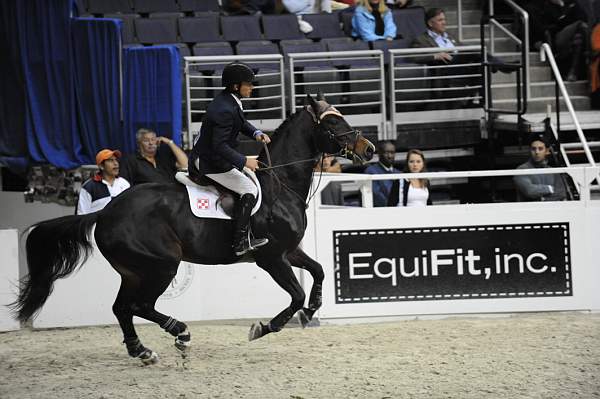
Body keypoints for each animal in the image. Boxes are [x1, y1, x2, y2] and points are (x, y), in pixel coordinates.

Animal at [10, 94, 376, 366]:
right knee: (139, 306)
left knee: (122, 308)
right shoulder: (271, 258)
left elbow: (319, 271)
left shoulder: (290, 251)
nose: (369, 149)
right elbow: (296, 293)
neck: (279, 183)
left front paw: (311, 311)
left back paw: (142, 351)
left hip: (133, 270)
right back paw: (180, 334)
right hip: (161, 265)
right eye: (332, 122)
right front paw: (263, 327)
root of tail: (107, 211)